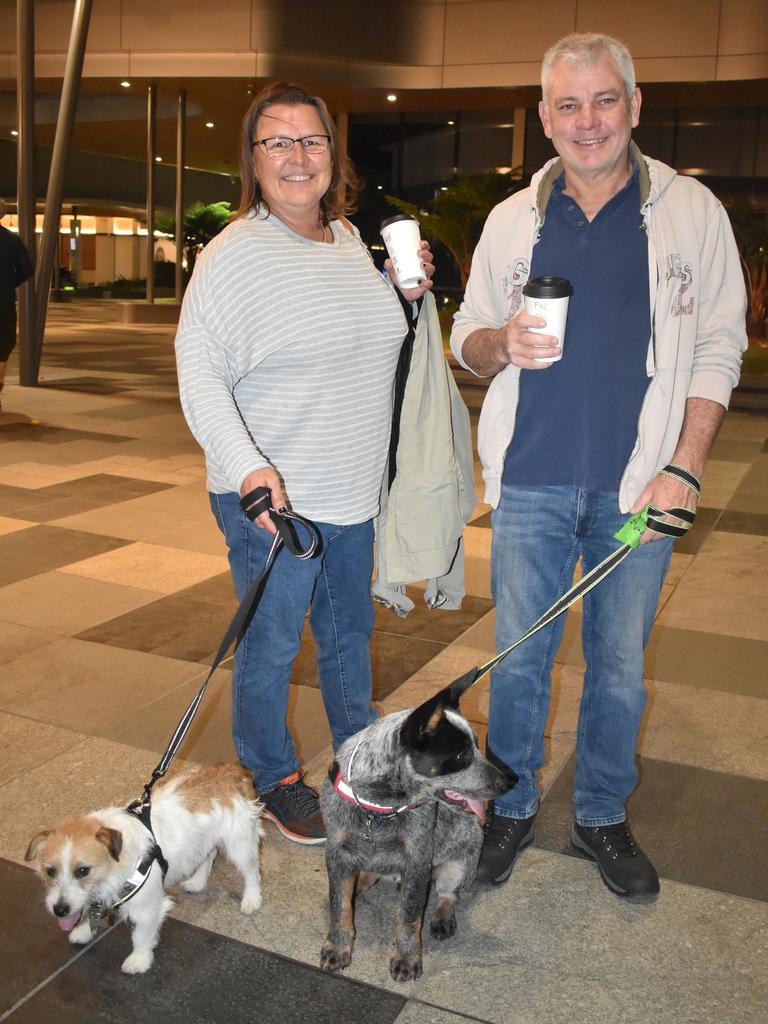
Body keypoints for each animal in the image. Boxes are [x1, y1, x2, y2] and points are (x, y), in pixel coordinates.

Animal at [319, 671, 518, 983]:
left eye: (477, 745)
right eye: (461, 756)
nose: (508, 782)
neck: (378, 808)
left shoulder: (418, 857)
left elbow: (409, 915)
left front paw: (407, 957)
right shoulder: (336, 850)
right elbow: (339, 905)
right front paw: (337, 947)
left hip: (463, 857)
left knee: (447, 892)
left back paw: (442, 916)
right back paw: (361, 881)